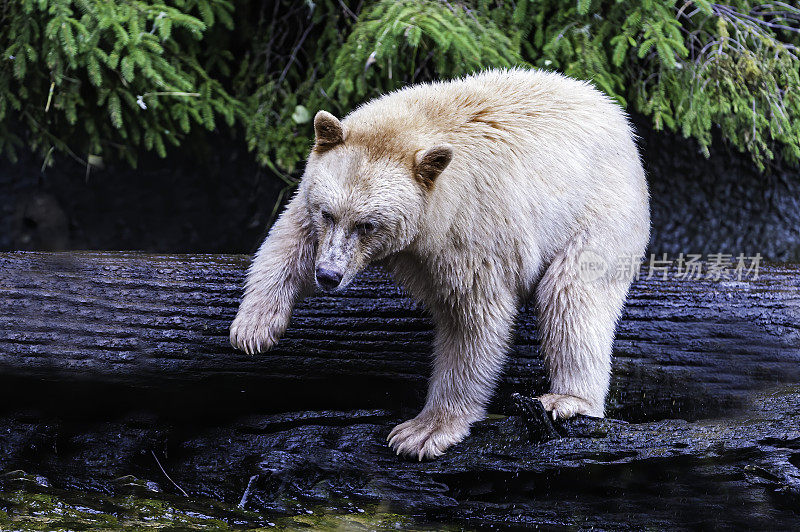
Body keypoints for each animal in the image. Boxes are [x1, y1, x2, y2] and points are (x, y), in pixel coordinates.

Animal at [230, 68, 648, 462]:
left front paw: (422, 431)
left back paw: (568, 400)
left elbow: (473, 321)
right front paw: (254, 328)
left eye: (368, 225)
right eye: (328, 213)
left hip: (599, 208)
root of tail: (617, 117)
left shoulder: (472, 228)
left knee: (571, 294)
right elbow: (290, 237)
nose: (329, 275)